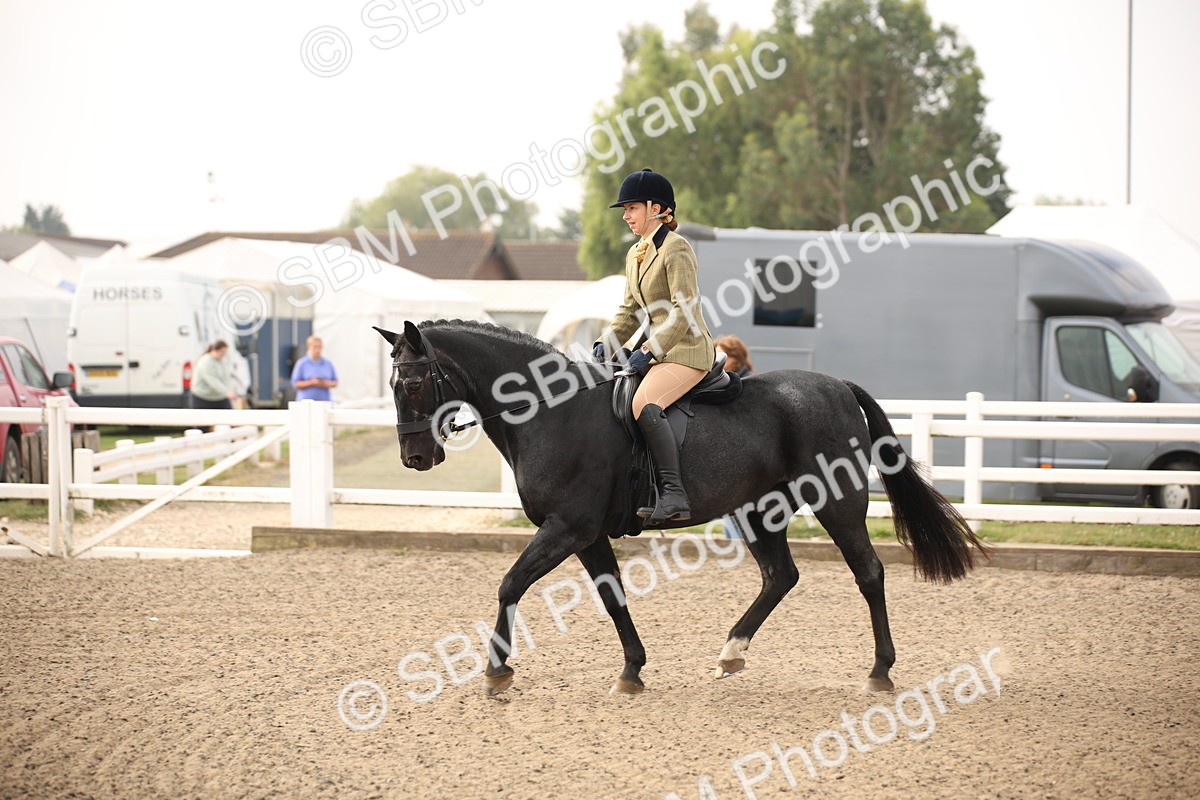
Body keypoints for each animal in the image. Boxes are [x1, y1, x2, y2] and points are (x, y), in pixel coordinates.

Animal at [377, 320, 990, 696]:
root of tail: (837, 385)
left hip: (836, 502)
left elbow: (510, 584)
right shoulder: (586, 534)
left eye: (414, 383)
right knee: (780, 575)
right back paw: (732, 652)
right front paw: (631, 671)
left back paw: (880, 671)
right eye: (392, 383)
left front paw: (496, 671)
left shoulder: (566, 528)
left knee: (868, 572)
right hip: (758, 509)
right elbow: (613, 597)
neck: (551, 412)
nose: (414, 457)